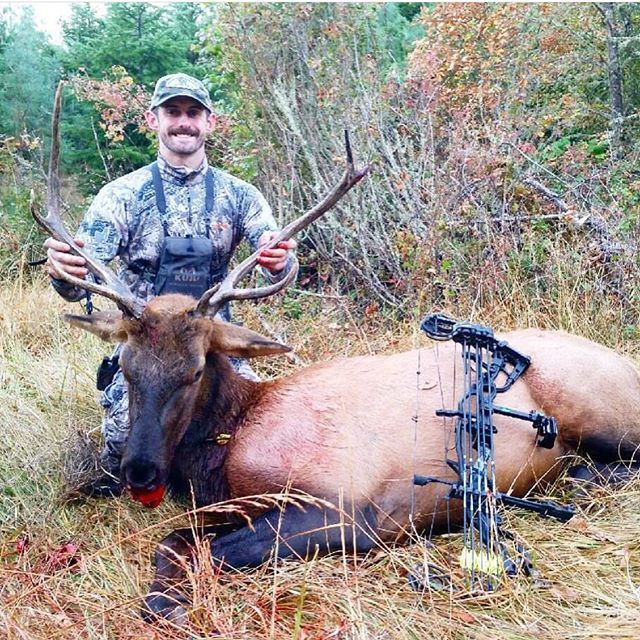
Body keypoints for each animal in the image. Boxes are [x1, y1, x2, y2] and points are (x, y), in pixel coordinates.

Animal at [34, 84, 640, 624]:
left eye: (194, 369)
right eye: (125, 367)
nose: (139, 471)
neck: (229, 443)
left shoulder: (350, 508)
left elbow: (206, 547)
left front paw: (169, 605)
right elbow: (175, 539)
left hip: (599, 406)